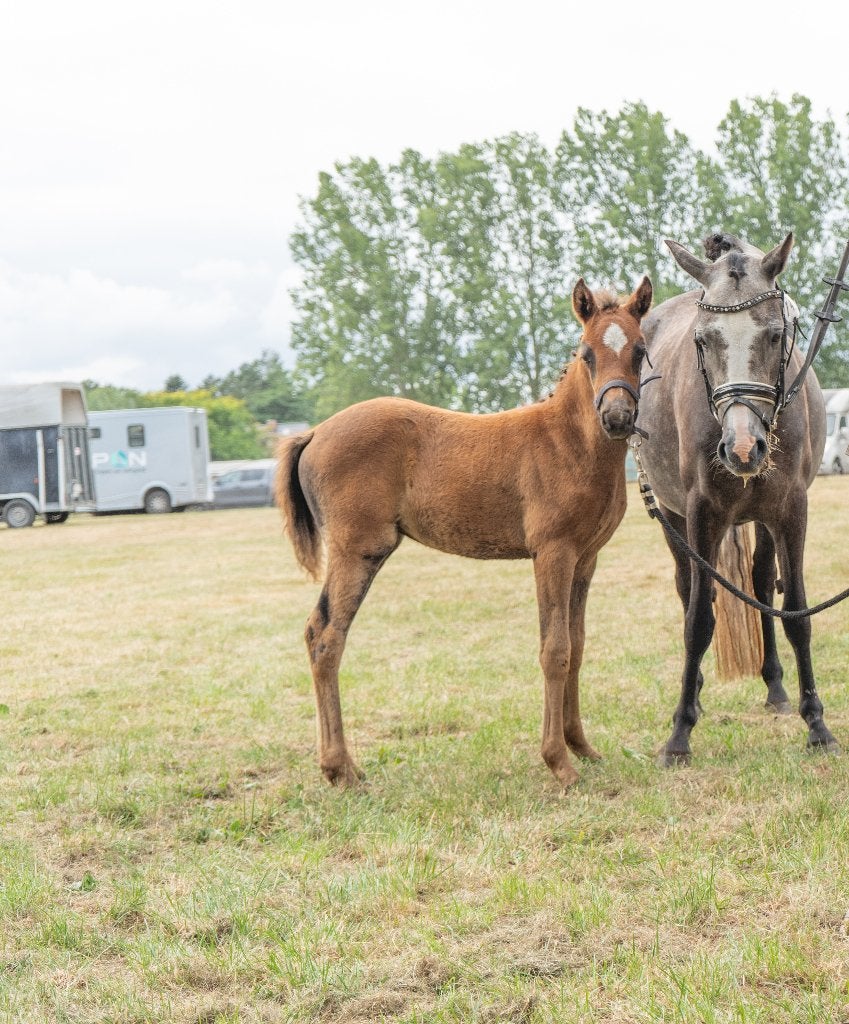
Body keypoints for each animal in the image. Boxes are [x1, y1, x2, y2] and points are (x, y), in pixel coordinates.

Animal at [276, 276, 654, 790]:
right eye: (587, 353)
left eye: (640, 350)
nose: (616, 418)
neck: (569, 444)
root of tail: (313, 433)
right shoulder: (552, 553)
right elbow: (553, 650)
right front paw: (559, 762)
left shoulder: (585, 558)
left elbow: (576, 647)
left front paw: (582, 746)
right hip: (359, 550)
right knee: (325, 636)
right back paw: (341, 770)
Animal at [636, 231, 838, 765]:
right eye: (703, 340)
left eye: (776, 335)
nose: (744, 449)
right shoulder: (701, 512)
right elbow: (698, 620)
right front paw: (680, 733)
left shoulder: (791, 510)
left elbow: (797, 615)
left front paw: (817, 724)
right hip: (672, 514)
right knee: (688, 589)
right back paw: (697, 692)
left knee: (763, 584)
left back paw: (776, 689)